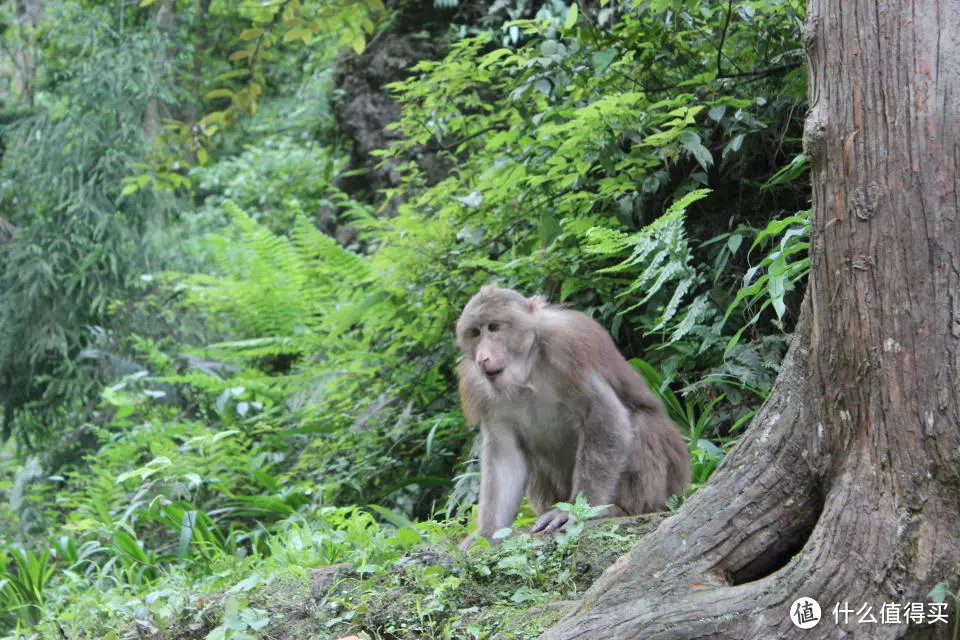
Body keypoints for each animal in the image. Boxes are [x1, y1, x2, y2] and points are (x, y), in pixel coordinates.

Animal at [458, 284, 688, 544]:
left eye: (494, 327)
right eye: (475, 333)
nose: (482, 357)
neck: (527, 371)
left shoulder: (567, 347)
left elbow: (607, 416)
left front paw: (577, 511)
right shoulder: (480, 389)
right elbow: (505, 455)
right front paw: (487, 535)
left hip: (670, 482)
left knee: (641, 423)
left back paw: (618, 509)